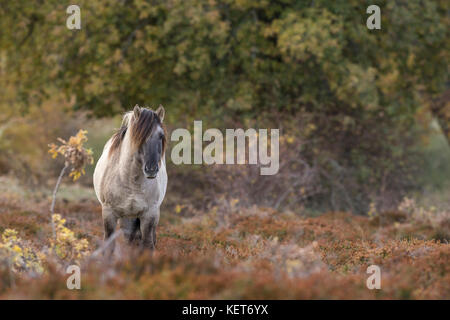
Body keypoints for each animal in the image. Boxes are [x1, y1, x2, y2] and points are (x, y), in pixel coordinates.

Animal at [92, 105, 167, 252]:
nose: (151, 169)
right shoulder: (109, 213)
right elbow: (109, 246)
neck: (131, 181)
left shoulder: (149, 214)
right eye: (139, 137)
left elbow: (148, 246)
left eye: (161, 136)